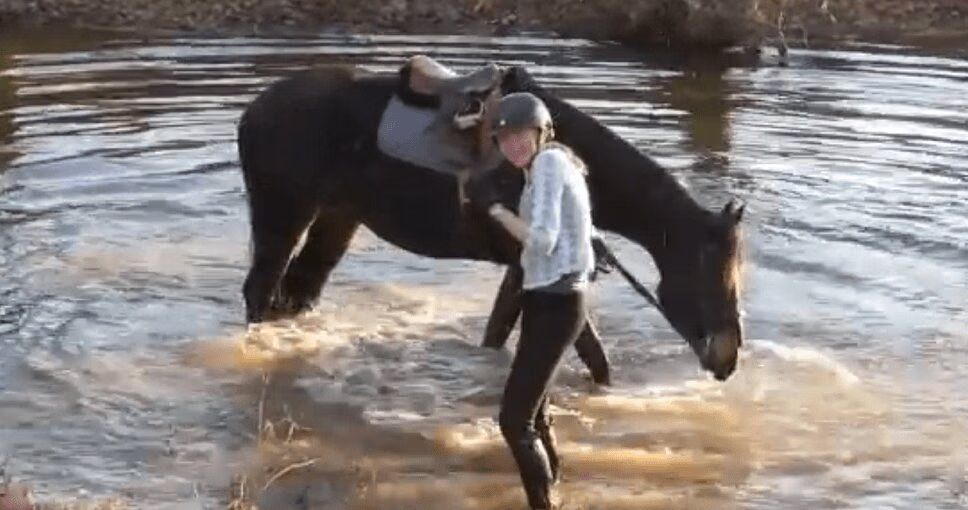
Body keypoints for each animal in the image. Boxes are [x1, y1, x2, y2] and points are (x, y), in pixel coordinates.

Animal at [236, 64, 746, 382]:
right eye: (710, 271)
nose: (729, 358)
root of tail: (254, 108)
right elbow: (596, 358)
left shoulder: (520, 270)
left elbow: (498, 333)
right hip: (283, 216)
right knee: (260, 290)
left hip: (337, 219)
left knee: (299, 289)